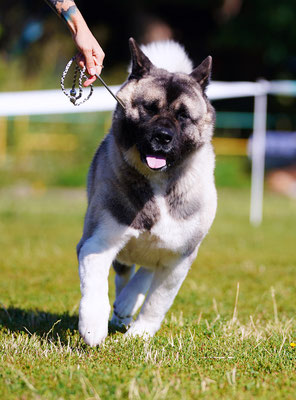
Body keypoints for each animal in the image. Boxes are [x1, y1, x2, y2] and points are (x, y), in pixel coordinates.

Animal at [75, 39, 217, 348]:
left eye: (183, 116)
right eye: (150, 109)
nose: (163, 137)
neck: (159, 184)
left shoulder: (179, 258)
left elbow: (157, 302)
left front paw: (140, 334)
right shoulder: (97, 243)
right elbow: (95, 287)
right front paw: (93, 327)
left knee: (145, 273)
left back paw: (128, 305)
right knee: (125, 275)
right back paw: (121, 310)